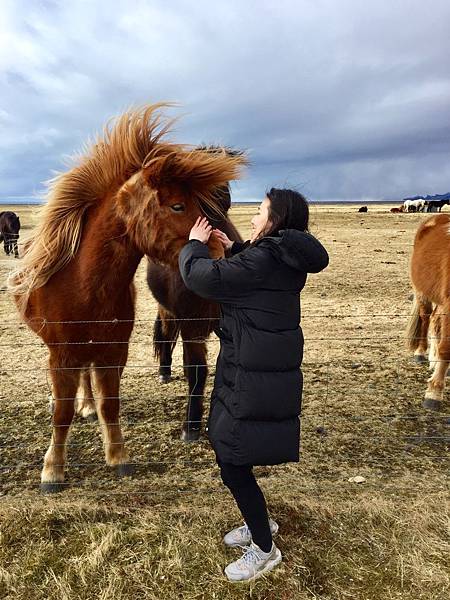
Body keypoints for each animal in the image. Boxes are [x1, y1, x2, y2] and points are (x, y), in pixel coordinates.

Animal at [147, 162, 243, 442]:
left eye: (223, 196)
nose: (215, 253)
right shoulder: (192, 327)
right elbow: (197, 371)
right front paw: (191, 425)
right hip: (168, 311)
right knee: (166, 334)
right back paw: (164, 371)